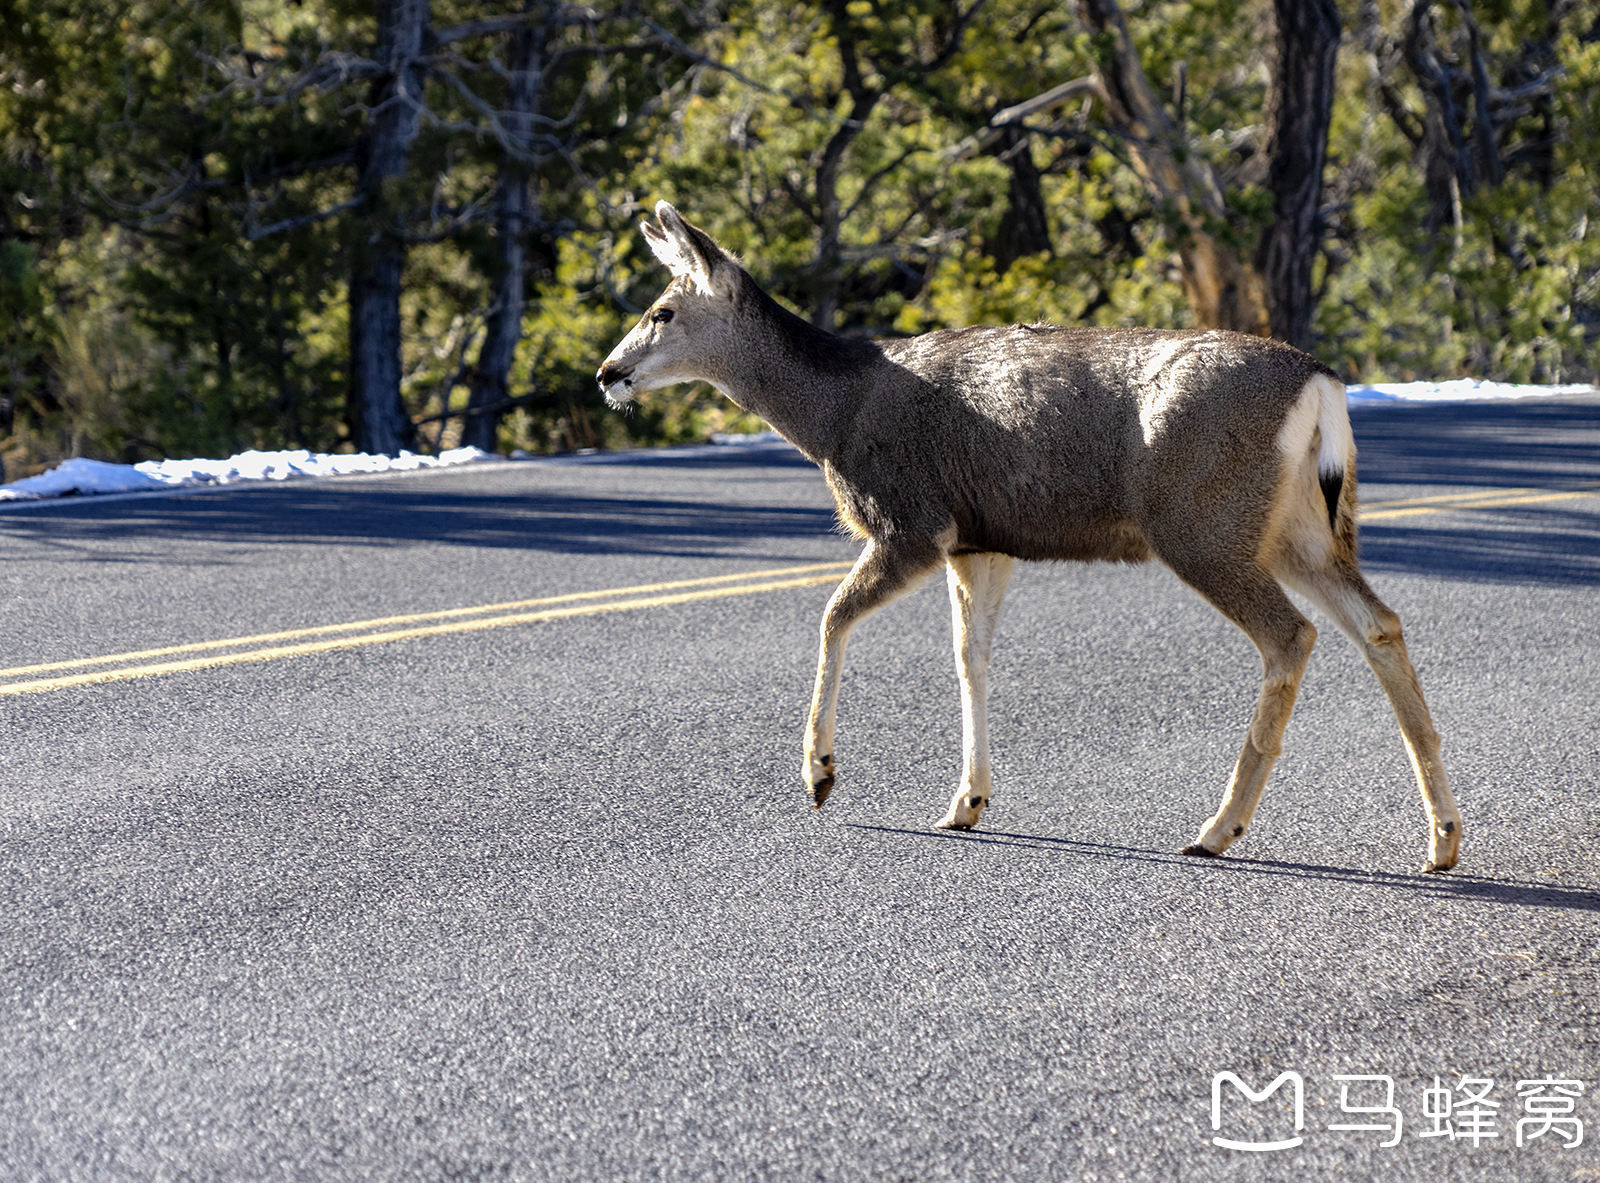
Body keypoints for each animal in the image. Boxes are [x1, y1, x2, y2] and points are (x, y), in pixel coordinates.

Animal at [598, 200, 1465, 870]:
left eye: (662, 310)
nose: (608, 374)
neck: (835, 411)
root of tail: (1321, 386)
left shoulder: (913, 519)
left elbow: (832, 617)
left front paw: (819, 773)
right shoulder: (981, 538)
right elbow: (969, 658)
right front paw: (966, 801)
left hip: (1203, 521)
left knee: (1293, 635)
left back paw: (1217, 829)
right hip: (1298, 526)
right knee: (1378, 622)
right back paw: (1443, 838)